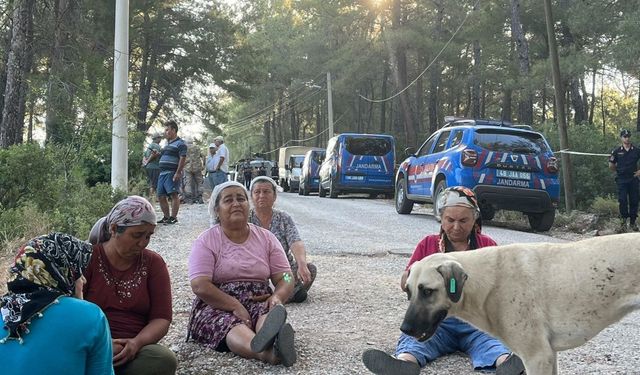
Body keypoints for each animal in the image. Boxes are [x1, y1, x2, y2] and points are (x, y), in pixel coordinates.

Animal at [402, 234, 640, 374]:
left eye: (427, 291)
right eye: (408, 291)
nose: (404, 329)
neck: (489, 282)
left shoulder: (537, 357)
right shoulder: (549, 355)